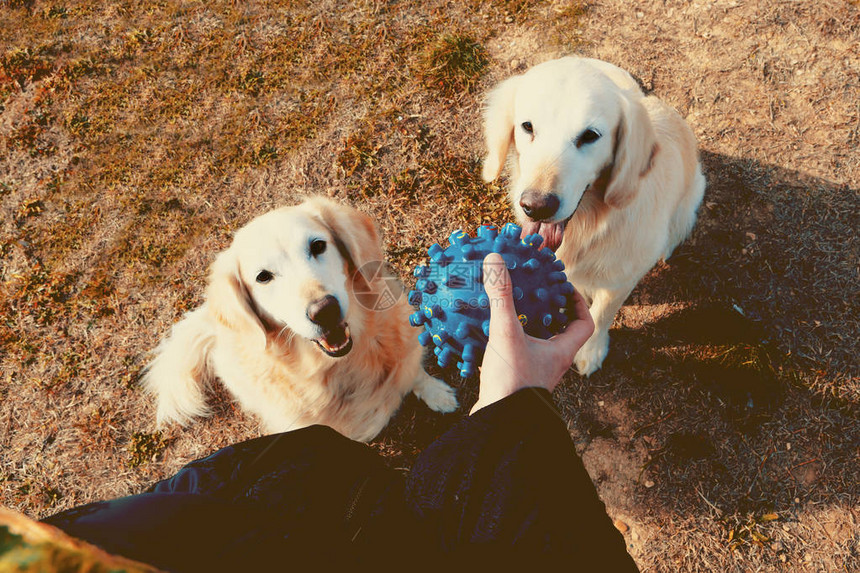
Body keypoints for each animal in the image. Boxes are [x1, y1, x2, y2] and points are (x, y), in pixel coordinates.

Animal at [143, 194, 456, 440]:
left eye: (317, 246)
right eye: (263, 277)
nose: (324, 310)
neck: (341, 368)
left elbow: (416, 375)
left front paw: (437, 394)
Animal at [480, 55, 704, 374]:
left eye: (590, 136)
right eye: (527, 126)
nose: (536, 206)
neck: (592, 224)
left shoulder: (621, 279)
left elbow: (601, 315)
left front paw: (591, 350)